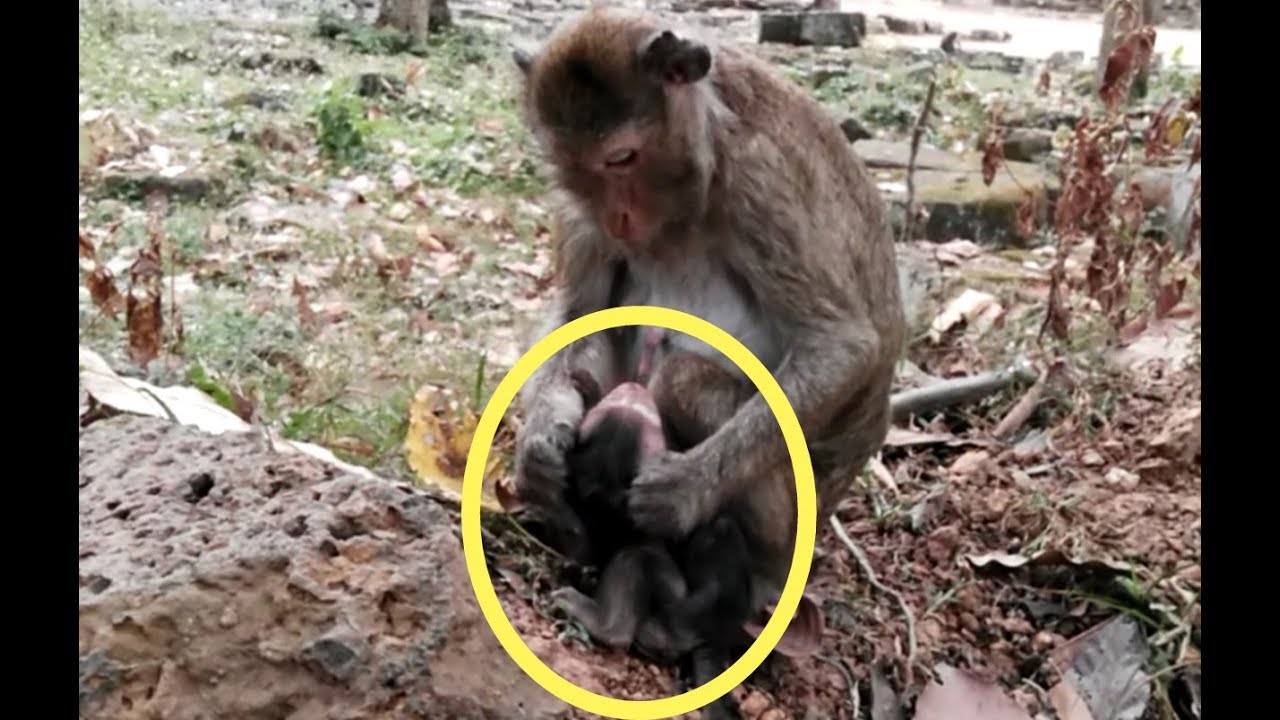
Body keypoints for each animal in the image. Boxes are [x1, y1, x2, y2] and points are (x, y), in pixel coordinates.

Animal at [508, 5, 906, 637]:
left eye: (621, 159)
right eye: (571, 168)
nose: (616, 218)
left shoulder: (761, 182)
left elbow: (840, 344)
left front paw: (685, 490)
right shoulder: (576, 209)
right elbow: (578, 314)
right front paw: (543, 433)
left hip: (795, 515)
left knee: (684, 379)